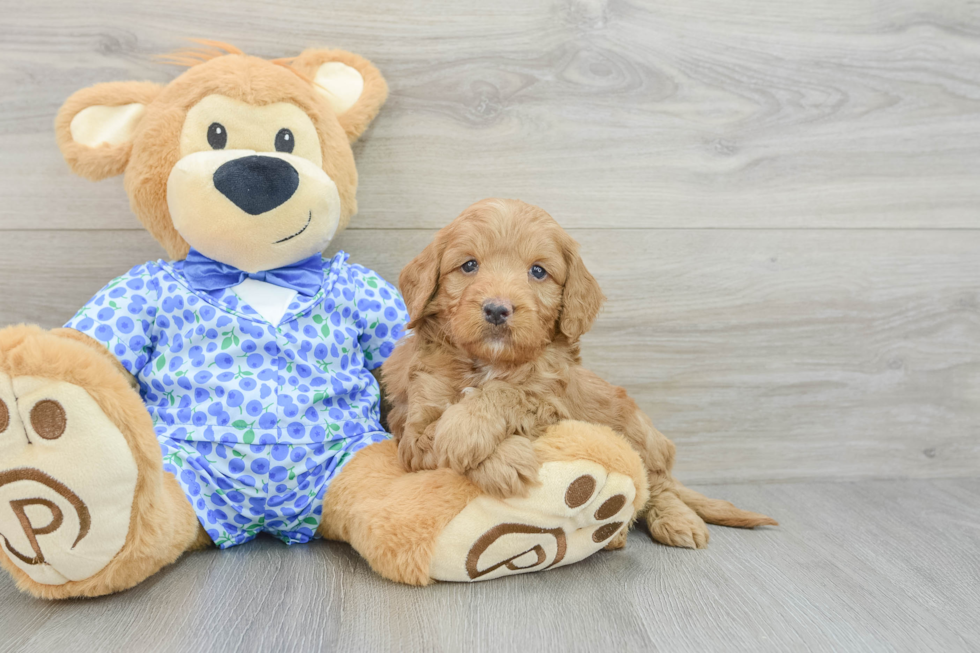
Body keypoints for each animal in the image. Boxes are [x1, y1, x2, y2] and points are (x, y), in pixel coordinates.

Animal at [382, 197, 772, 544]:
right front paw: (505, 460)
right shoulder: (411, 427)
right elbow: (432, 435)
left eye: (538, 271)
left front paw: (466, 427)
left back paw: (676, 521)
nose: (496, 309)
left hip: (636, 427)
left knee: (656, 484)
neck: (489, 362)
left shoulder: (552, 400)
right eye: (468, 266)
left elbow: (510, 392)